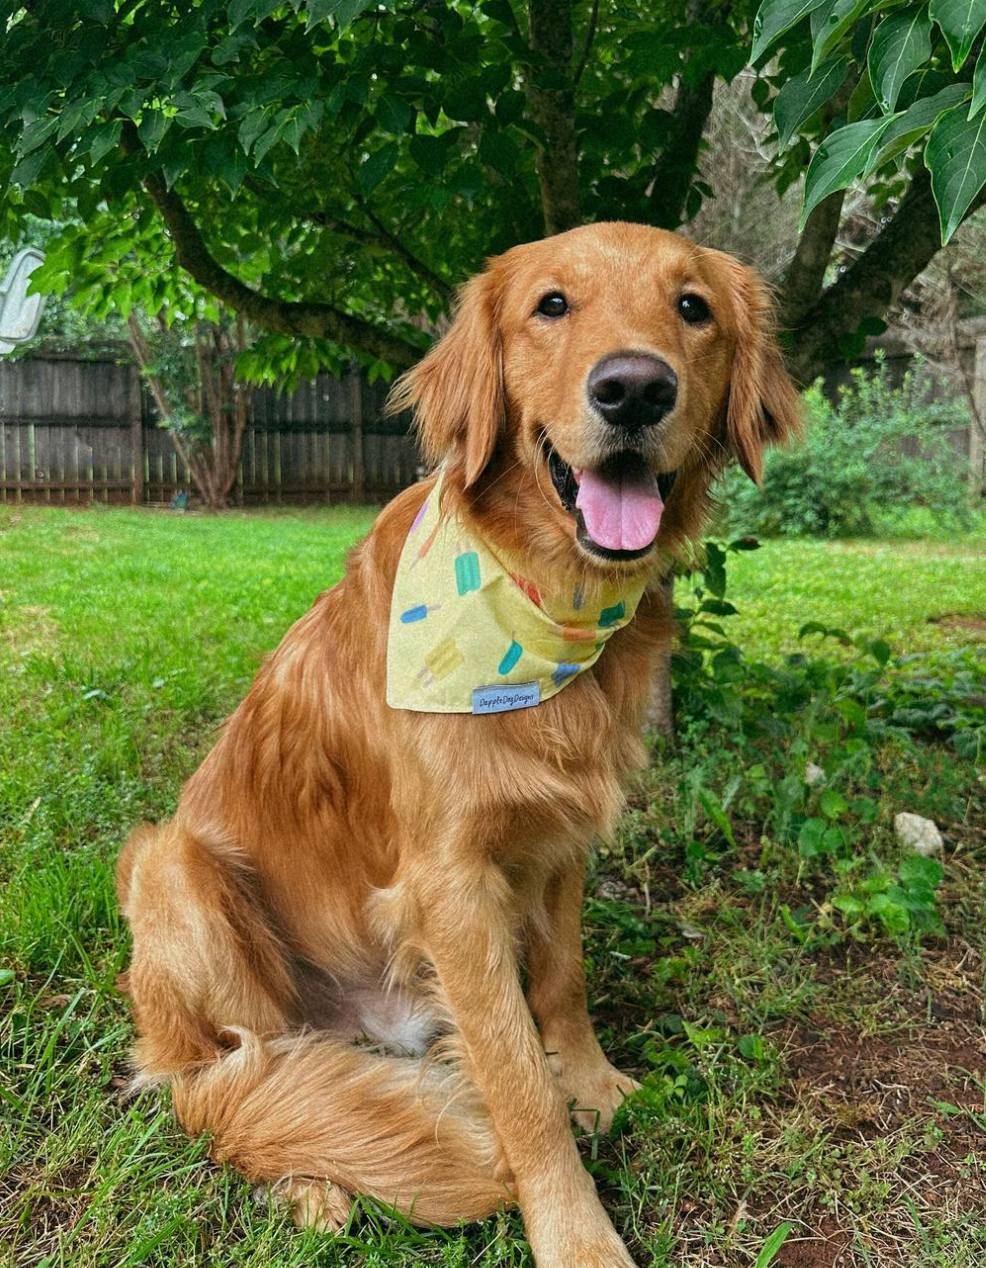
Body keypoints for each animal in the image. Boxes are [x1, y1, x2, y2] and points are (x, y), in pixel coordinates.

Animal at [115, 223, 795, 1262]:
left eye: (693, 308)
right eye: (551, 305)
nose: (635, 389)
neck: (541, 599)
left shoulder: (559, 837)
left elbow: (561, 980)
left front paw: (590, 1082)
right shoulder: (452, 882)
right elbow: (516, 1084)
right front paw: (575, 1230)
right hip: (171, 868)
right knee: (229, 1074)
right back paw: (310, 1183)